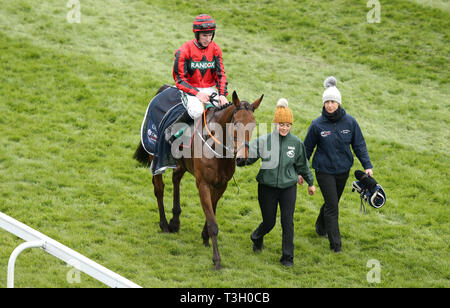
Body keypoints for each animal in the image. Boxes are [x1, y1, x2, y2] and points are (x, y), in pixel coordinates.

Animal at [133, 85, 264, 270]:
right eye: (236, 123)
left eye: (253, 126)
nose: (242, 159)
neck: (216, 147)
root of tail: (164, 89)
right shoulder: (203, 184)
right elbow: (213, 222)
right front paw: (216, 260)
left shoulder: (221, 185)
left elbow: (212, 213)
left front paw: (204, 236)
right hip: (155, 156)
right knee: (159, 189)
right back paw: (164, 224)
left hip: (181, 163)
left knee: (176, 178)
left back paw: (175, 221)